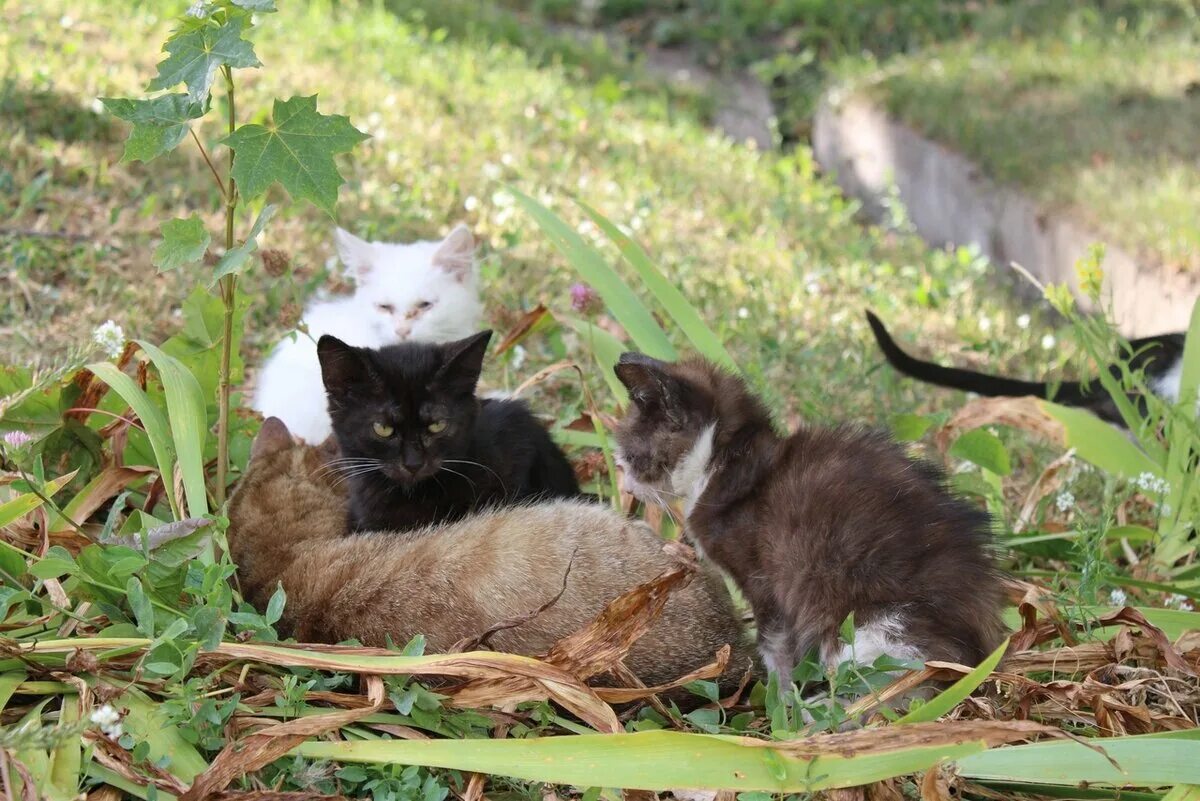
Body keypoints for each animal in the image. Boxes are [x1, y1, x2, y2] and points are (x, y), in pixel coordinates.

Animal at [614, 352, 1008, 681]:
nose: (628, 488)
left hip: (864, 621)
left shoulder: (765, 578)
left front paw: (783, 702)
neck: (728, 461)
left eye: (631, 457)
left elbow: (774, 645)